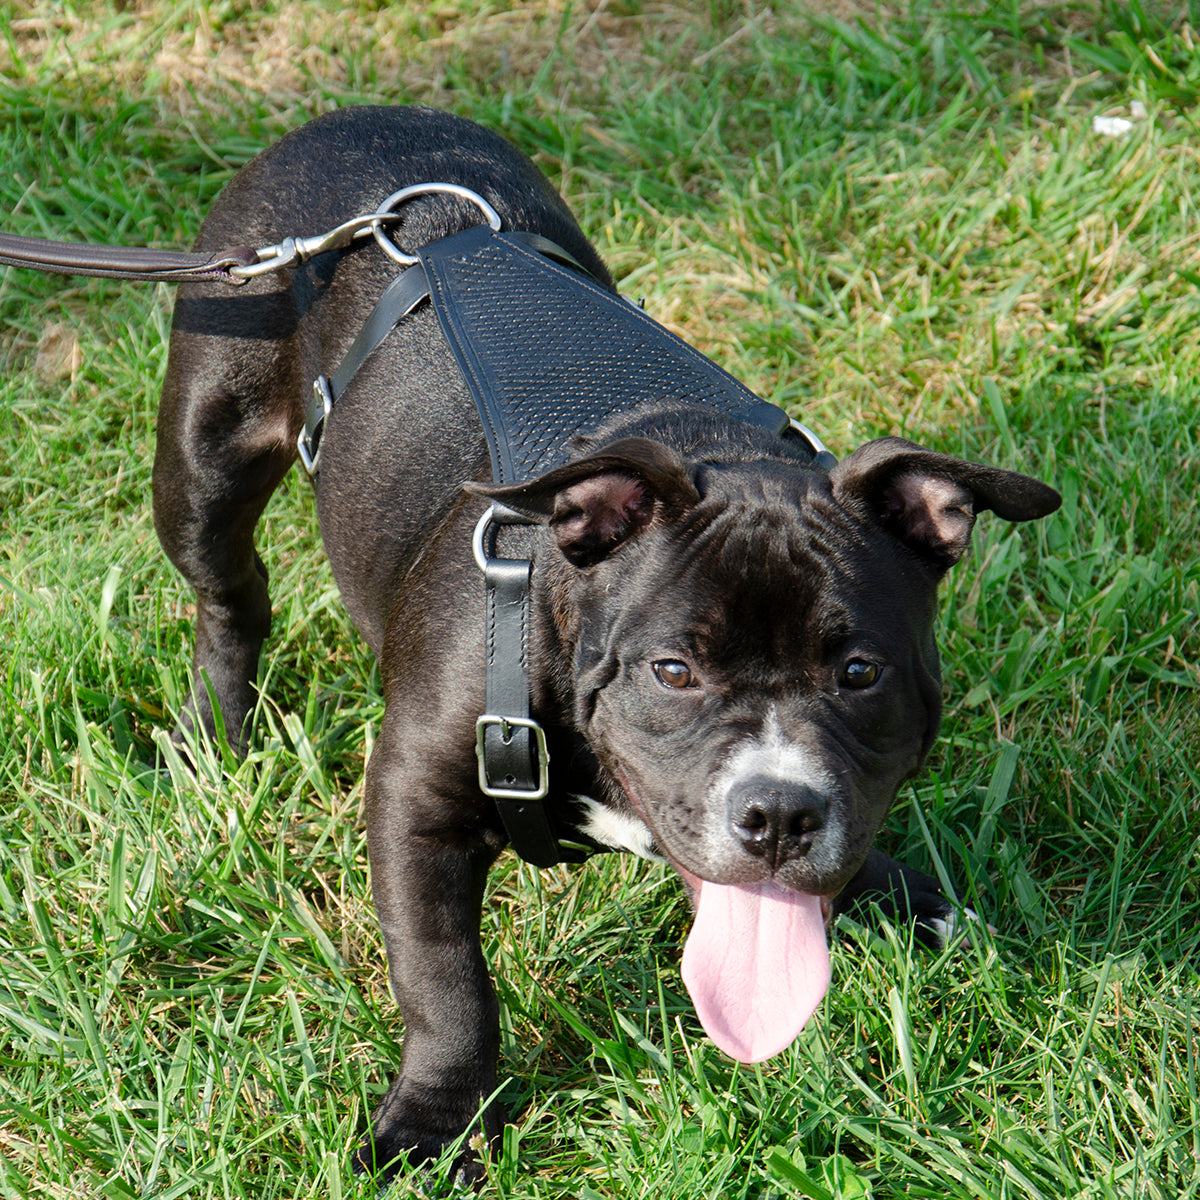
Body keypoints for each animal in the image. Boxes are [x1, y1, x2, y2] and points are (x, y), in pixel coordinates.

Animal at [152, 105, 1060, 1180]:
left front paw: (901, 892)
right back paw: (217, 732)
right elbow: (444, 978)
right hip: (206, 450)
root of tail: (359, 118)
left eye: (858, 671)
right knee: (231, 593)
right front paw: (436, 1123)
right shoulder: (414, 799)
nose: (779, 814)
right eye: (673, 671)